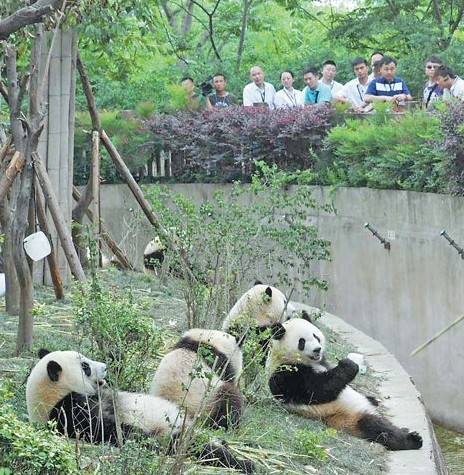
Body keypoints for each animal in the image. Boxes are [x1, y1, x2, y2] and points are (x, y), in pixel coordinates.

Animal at [264, 314, 424, 452]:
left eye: (315, 336)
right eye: (301, 342)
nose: (317, 349)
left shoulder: (321, 362)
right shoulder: (286, 374)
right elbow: (316, 390)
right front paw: (349, 365)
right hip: (349, 417)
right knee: (378, 428)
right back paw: (412, 439)